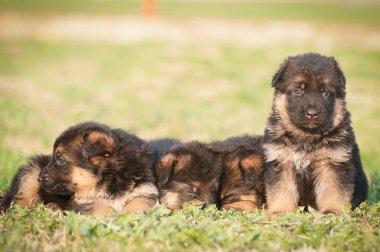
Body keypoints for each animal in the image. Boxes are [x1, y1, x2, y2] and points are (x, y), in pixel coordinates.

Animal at [264, 52, 368, 213]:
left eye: (325, 92)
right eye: (298, 91)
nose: (312, 114)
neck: (307, 136)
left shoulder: (332, 163)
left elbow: (333, 189)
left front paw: (332, 210)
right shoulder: (281, 162)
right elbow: (281, 189)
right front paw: (281, 210)